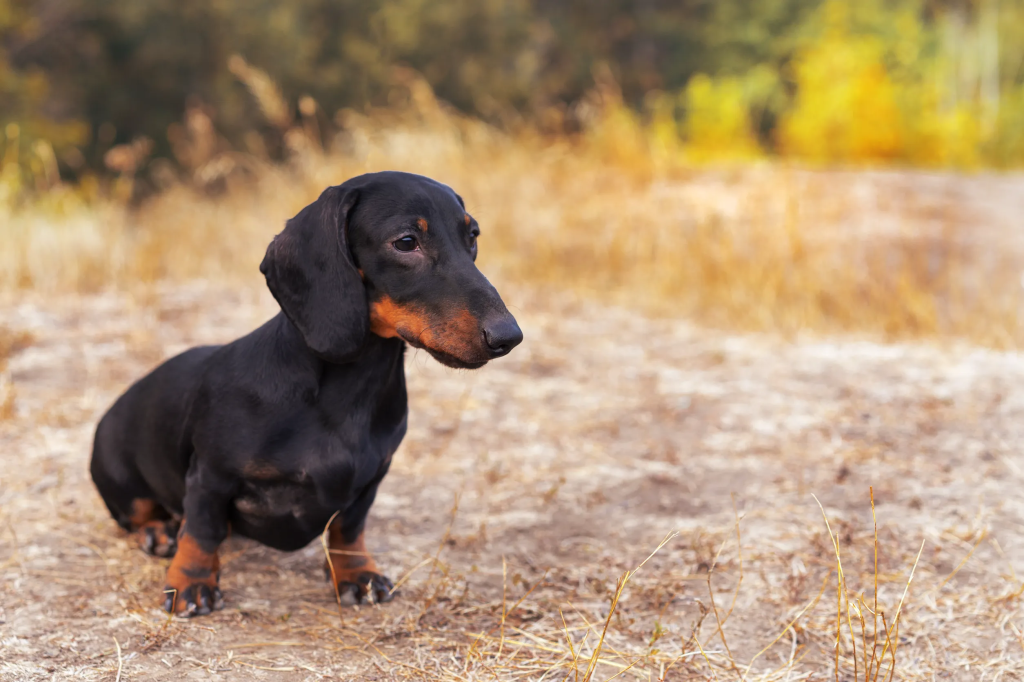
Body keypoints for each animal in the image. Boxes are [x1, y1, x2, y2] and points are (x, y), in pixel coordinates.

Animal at [91, 171, 524, 614]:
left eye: (472, 235)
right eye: (406, 241)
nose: (508, 337)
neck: (347, 393)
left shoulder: (370, 480)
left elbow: (349, 530)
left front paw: (357, 574)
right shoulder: (210, 476)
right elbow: (202, 531)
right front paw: (191, 582)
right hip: (120, 478)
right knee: (140, 514)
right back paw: (159, 532)